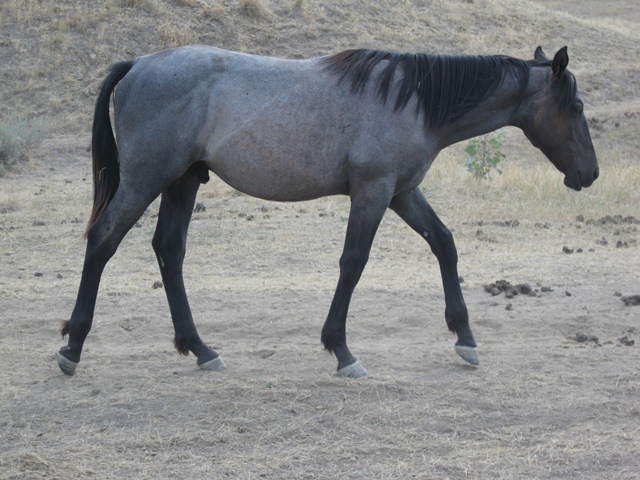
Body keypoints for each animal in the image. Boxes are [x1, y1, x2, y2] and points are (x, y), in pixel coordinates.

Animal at [57, 45, 598, 378]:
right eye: (575, 107)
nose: (590, 173)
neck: (414, 100)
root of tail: (138, 63)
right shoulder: (373, 191)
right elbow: (353, 263)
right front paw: (341, 350)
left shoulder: (401, 192)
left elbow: (444, 243)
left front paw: (464, 337)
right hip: (146, 180)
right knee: (103, 241)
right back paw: (72, 347)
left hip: (183, 181)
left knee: (169, 250)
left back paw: (202, 350)